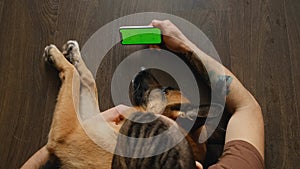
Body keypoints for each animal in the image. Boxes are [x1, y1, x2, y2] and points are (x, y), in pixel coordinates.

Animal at [41, 40, 207, 168]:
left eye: (165, 90)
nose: (142, 69)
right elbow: (89, 80)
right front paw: (74, 53)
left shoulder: (69, 132)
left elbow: (73, 73)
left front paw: (55, 56)